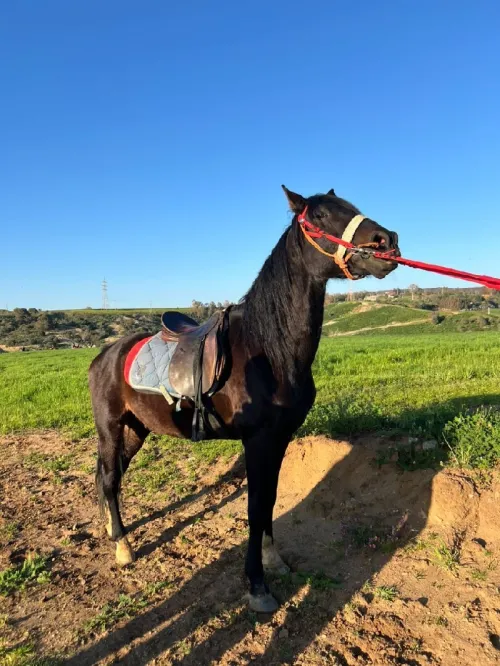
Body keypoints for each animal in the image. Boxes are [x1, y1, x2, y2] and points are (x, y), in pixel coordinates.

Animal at [88, 185, 400, 612]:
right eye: (318, 217)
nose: (386, 241)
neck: (269, 348)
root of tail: (105, 355)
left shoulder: (279, 439)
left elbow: (269, 500)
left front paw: (274, 560)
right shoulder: (257, 441)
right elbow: (254, 508)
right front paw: (257, 585)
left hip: (137, 429)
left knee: (112, 477)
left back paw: (111, 531)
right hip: (111, 427)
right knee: (108, 479)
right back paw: (123, 548)